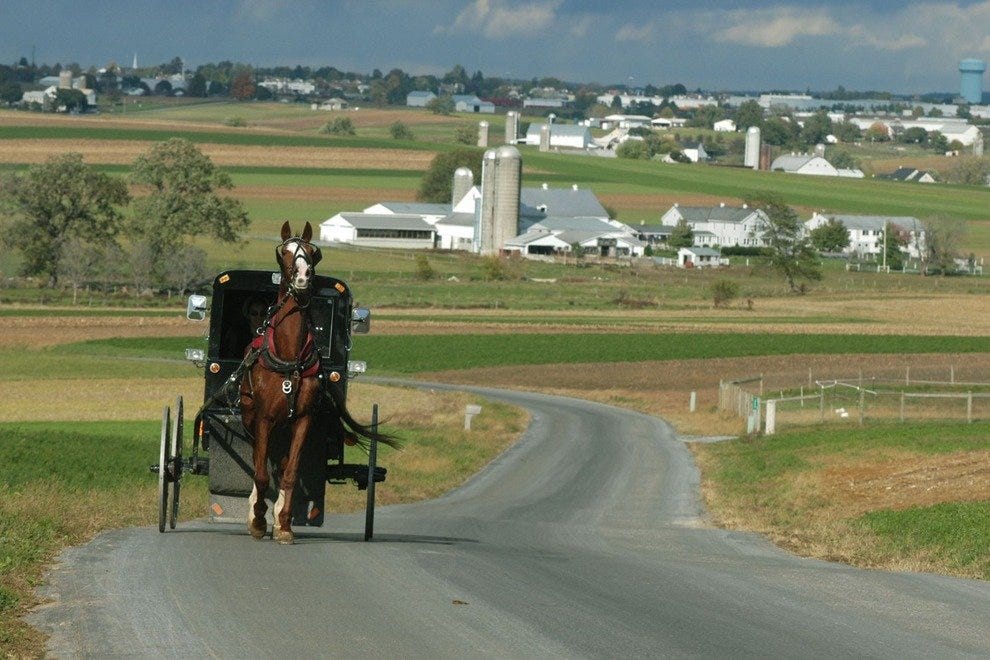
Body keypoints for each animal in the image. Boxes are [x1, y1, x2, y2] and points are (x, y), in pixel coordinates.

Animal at [239, 220, 396, 540]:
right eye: (284, 252)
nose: (303, 276)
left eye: (313, 253)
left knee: (280, 464)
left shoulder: (302, 420)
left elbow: (291, 472)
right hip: (253, 420)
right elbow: (260, 474)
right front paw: (259, 521)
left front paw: (283, 524)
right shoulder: (263, 419)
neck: (288, 357)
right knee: (262, 463)